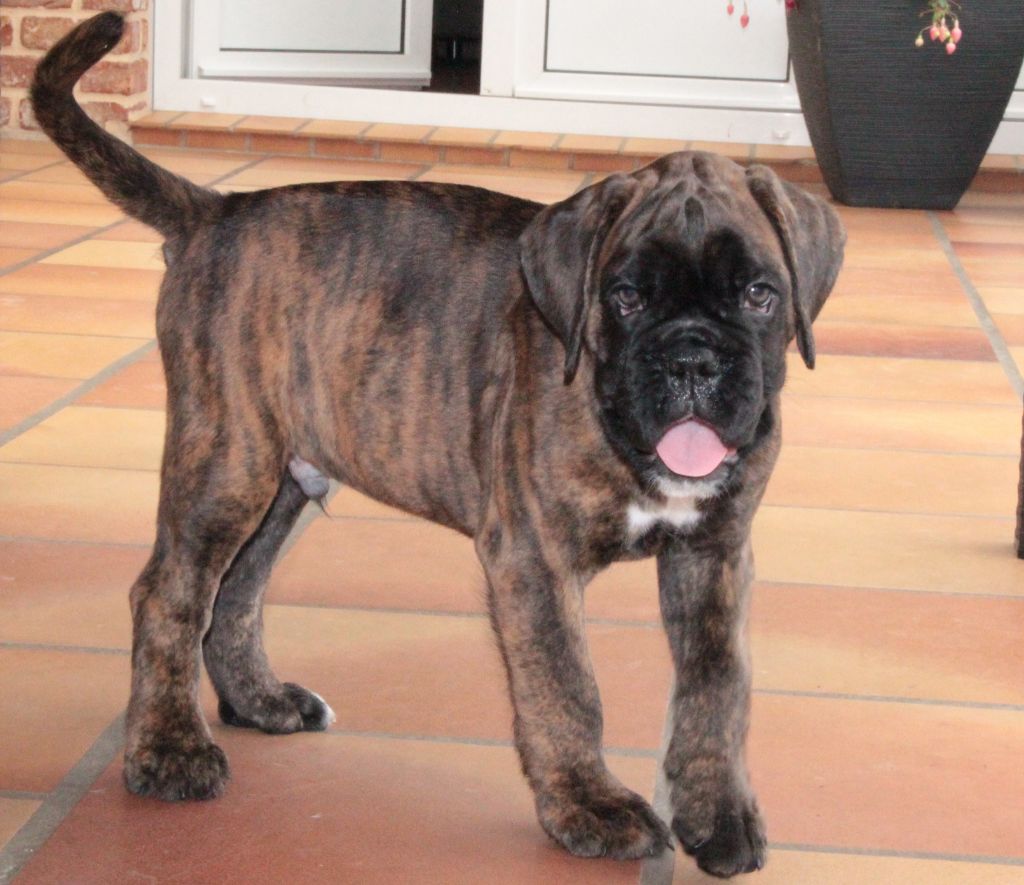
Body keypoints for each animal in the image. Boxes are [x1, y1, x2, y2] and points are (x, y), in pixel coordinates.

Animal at [32, 13, 844, 878]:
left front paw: (716, 812)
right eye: (625, 295)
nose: (691, 358)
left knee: (238, 590)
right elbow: (566, 683)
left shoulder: (715, 551)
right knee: (170, 593)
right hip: (228, 462)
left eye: (759, 293)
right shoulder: (533, 556)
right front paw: (588, 805)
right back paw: (167, 750)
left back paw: (260, 700)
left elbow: (717, 686)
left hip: (281, 479)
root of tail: (215, 212)